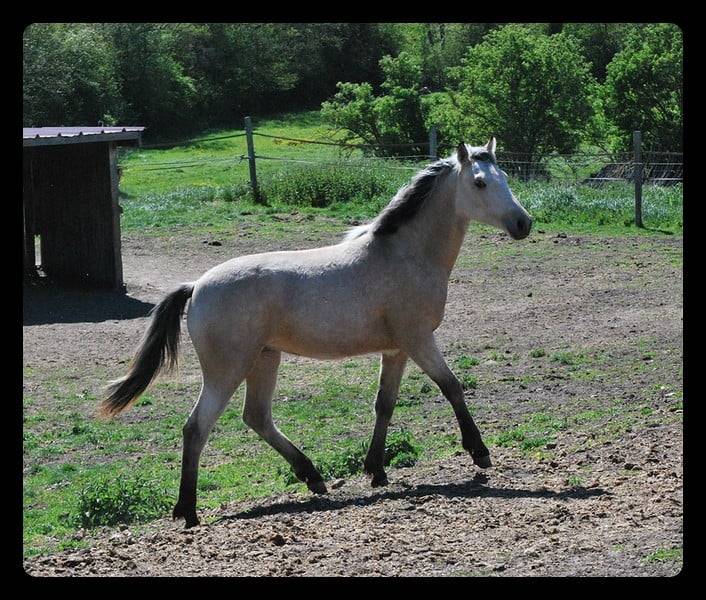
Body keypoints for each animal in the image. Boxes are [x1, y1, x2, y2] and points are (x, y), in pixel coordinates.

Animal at [99, 138, 533, 528]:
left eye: (505, 177)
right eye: (479, 182)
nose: (523, 223)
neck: (405, 253)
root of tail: (197, 286)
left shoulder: (396, 350)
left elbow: (385, 405)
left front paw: (376, 471)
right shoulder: (418, 340)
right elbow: (452, 386)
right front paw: (479, 453)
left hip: (264, 359)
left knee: (257, 417)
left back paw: (313, 477)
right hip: (226, 371)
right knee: (196, 427)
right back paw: (188, 511)